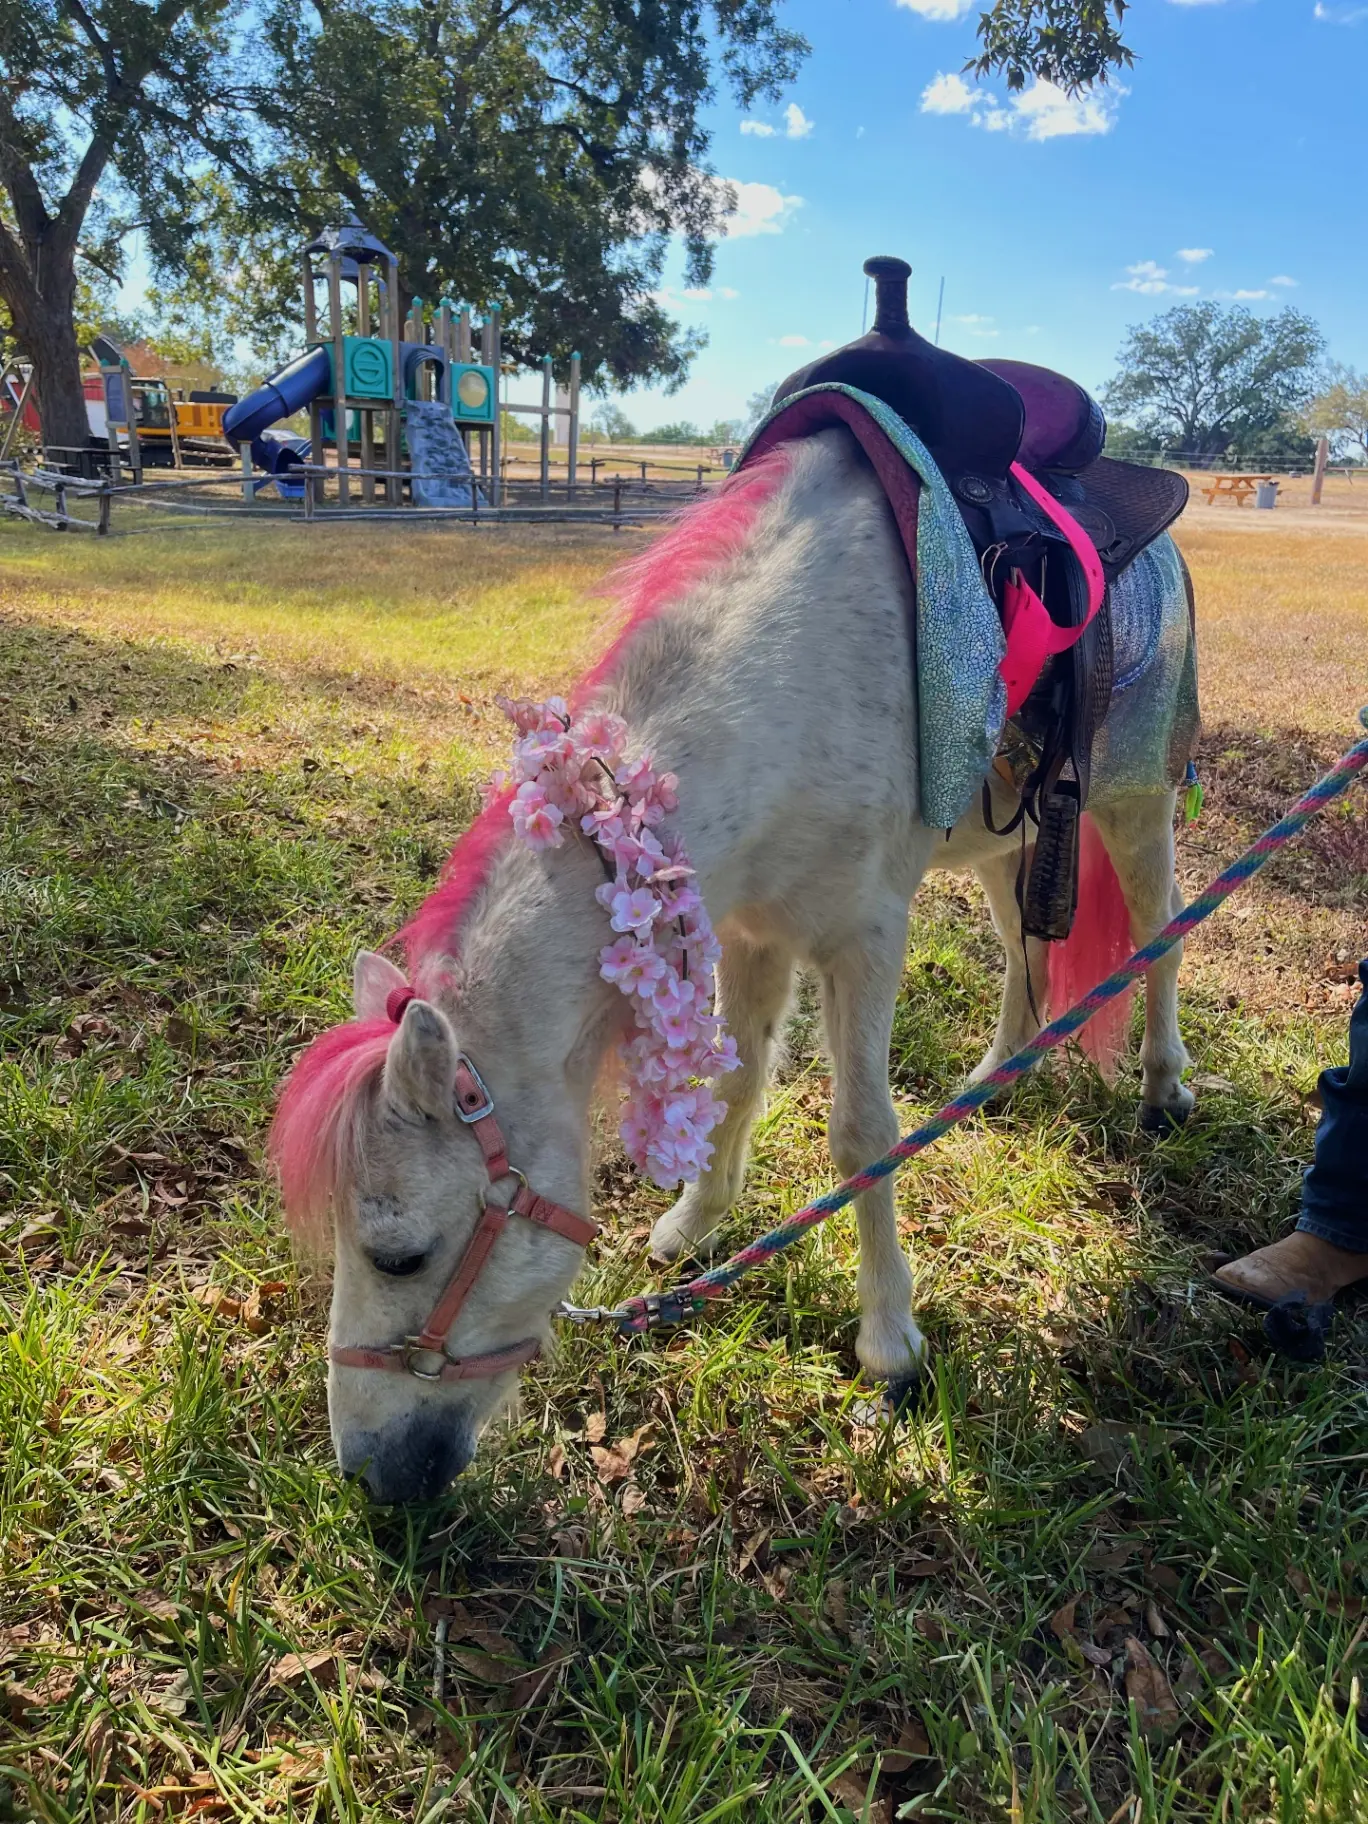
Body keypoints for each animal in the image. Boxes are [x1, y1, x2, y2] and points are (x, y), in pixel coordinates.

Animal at [270, 428, 1200, 1503]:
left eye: (399, 1257)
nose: (370, 1478)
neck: (797, 677)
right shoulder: (752, 931)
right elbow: (735, 1083)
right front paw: (694, 1226)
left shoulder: (864, 939)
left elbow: (861, 1133)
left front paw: (890, 1345)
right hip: (1009, 843)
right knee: (1024, 952)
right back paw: (1000, 1071)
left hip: (1136, 804)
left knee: (1161, 932)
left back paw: (1163, 1084)